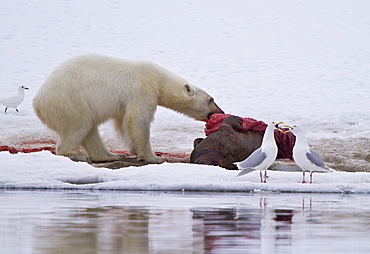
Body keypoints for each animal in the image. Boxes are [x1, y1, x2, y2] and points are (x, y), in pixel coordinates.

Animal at [32, 54, 223, 164]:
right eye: (211, 99)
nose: (220, 112)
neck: (159, 80)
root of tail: (37, 101)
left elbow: (123, 123)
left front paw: (133, 151)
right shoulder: (142, 89)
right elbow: (138, 120)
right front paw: (153, 157)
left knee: (90, 128)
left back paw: (110, 155)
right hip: (69, 101)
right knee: (79, 125)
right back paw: (76, 154)